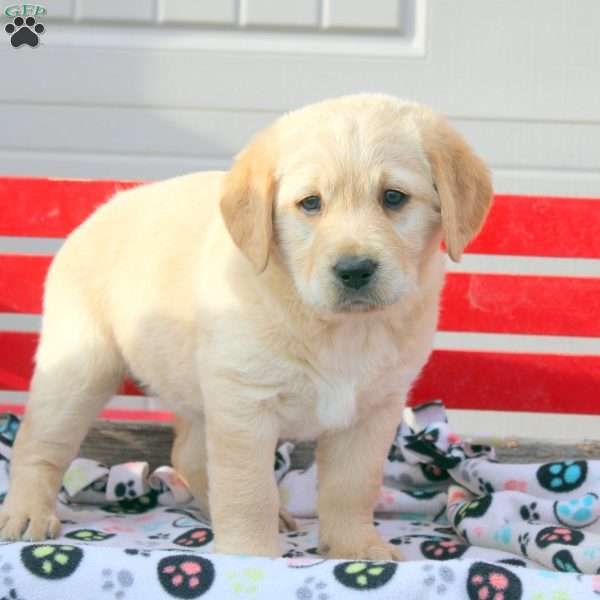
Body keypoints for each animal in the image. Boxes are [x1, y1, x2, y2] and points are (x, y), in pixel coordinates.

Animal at [0, 92, 490, 556]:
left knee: (187, 454)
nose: (354, 270)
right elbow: (248, 491)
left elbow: (353, 487)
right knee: (37, 443)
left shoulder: (373, 411)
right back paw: (26, 514)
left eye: (393, 197)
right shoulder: (243, 403)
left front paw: (357, 549)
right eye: (310, 204)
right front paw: (250, 558)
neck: (336, 328)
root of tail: (99, 210)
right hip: (79, 369)